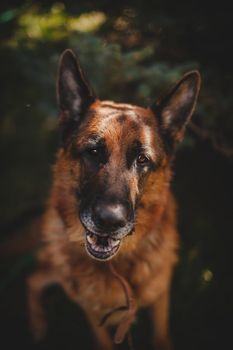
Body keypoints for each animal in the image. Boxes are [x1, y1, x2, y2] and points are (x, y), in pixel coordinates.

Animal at [27, 49, 200, 350]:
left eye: (142, 159)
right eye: (93, 151)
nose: (110, 221)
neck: (116, 266)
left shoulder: (161, 297)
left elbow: (161, 336)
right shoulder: (91, 312)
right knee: (32, 279)